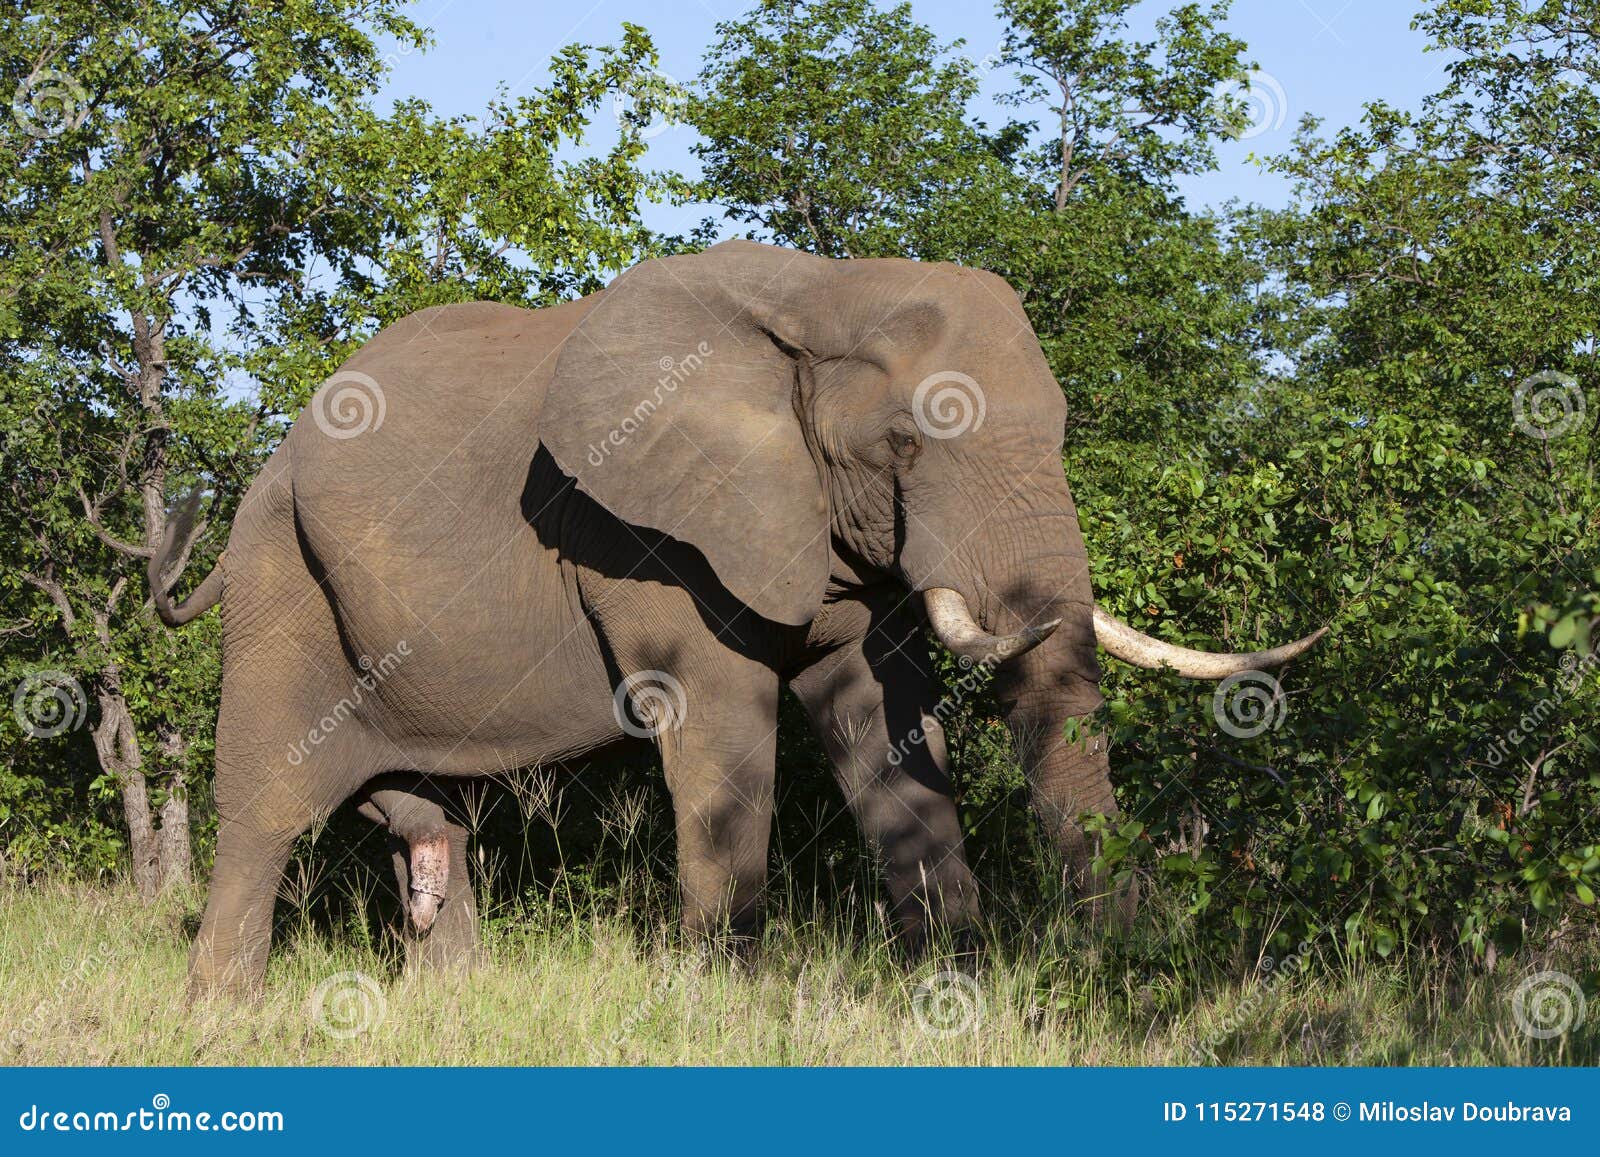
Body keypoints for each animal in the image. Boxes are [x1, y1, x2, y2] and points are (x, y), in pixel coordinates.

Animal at [149, 239, 1324, 995]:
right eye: (907, 443)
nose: (1134, 974)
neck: (821, 297)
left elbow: (884, 720)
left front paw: (951, 990)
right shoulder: (645, 531)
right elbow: (720, 723)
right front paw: (729, 1003)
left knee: (422, 815)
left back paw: (453, 1002)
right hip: (280, 577)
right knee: (266, 804)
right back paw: (222, 1012)